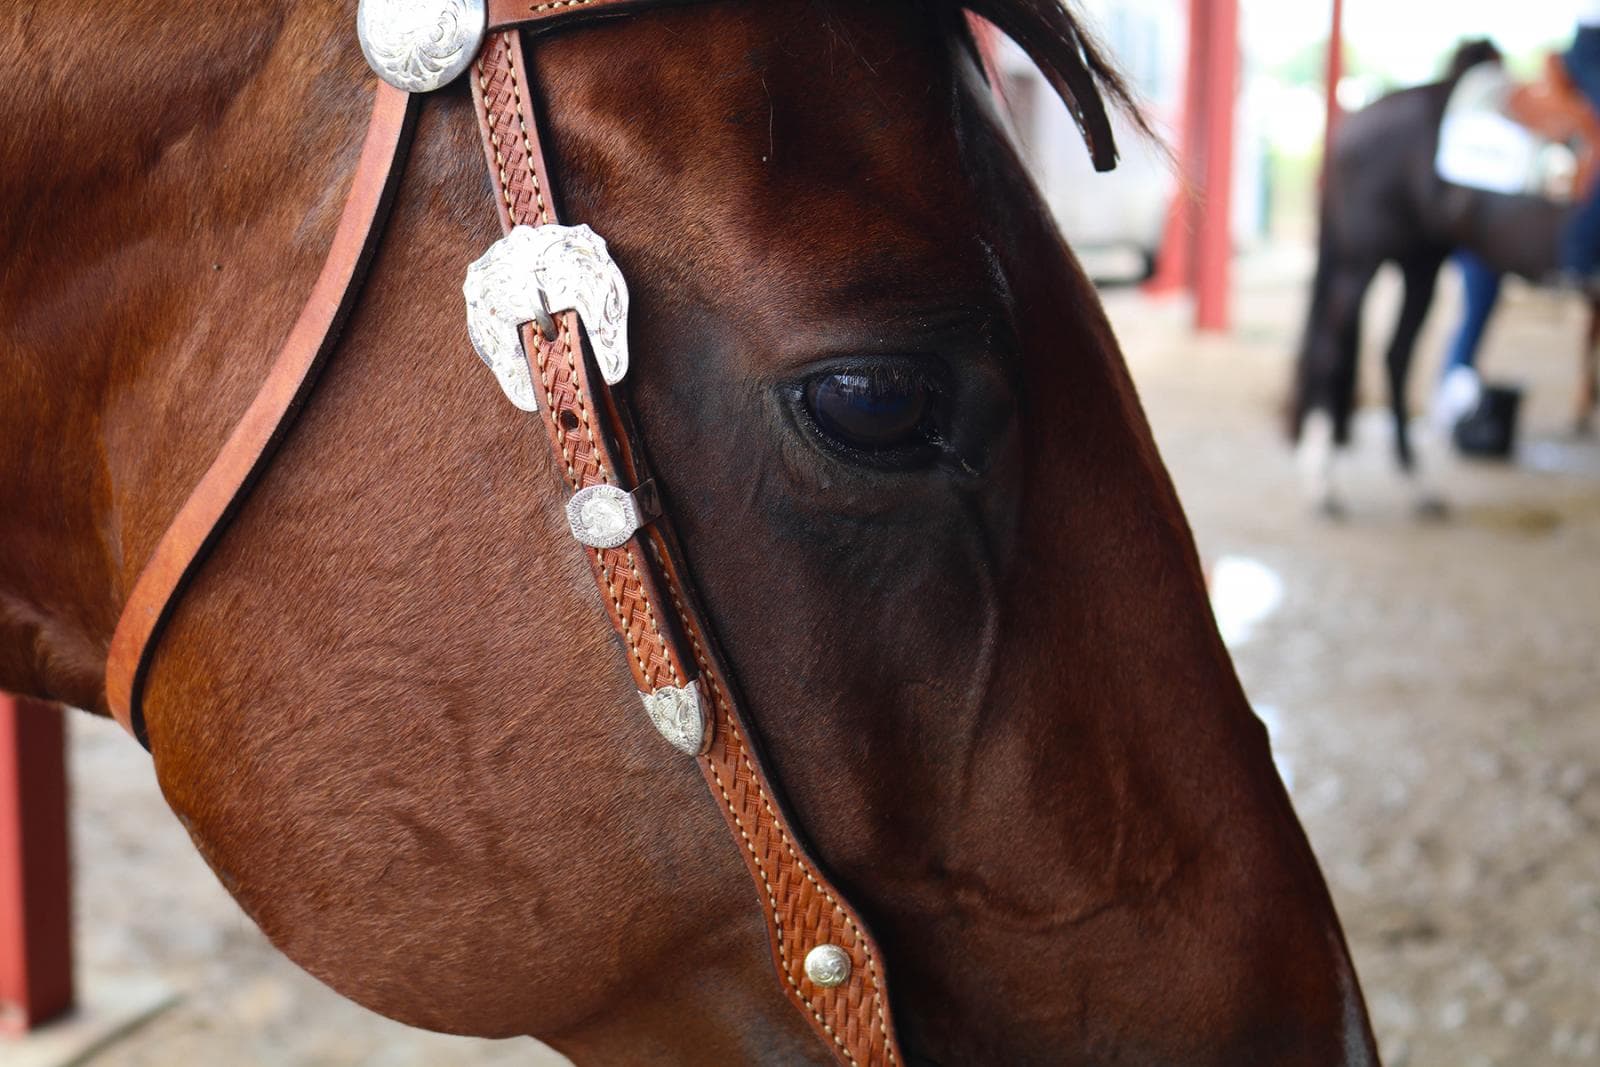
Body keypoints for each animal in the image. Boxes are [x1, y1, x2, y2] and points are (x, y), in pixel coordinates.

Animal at [1292, 37, 1593, 511]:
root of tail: (1352, 123)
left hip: (1421, 262)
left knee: (1397, 354)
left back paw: (1417, 482)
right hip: (1361, 260)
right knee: (1330, 349)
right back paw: (1324, 483)